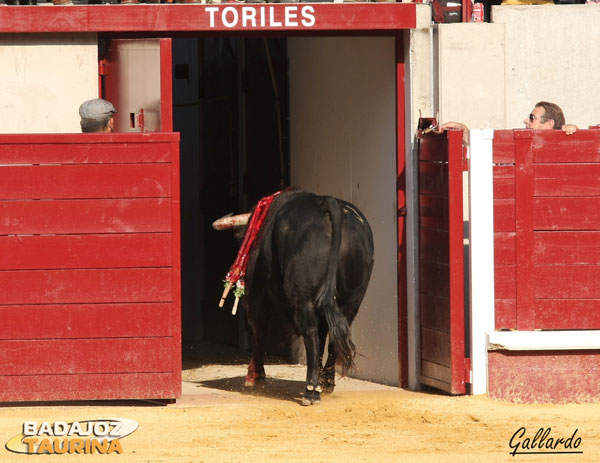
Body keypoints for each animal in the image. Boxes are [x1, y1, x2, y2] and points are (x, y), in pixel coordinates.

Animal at [227, 191, 372, 406]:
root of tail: (329, 203)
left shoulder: (257, 296)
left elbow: (259, 330)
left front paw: (255, 375)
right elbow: (323, 335)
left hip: (304, 298)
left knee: (309, 333)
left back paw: (311, 390)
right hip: (352, 300)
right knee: (332, 335)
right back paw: (326, 383)